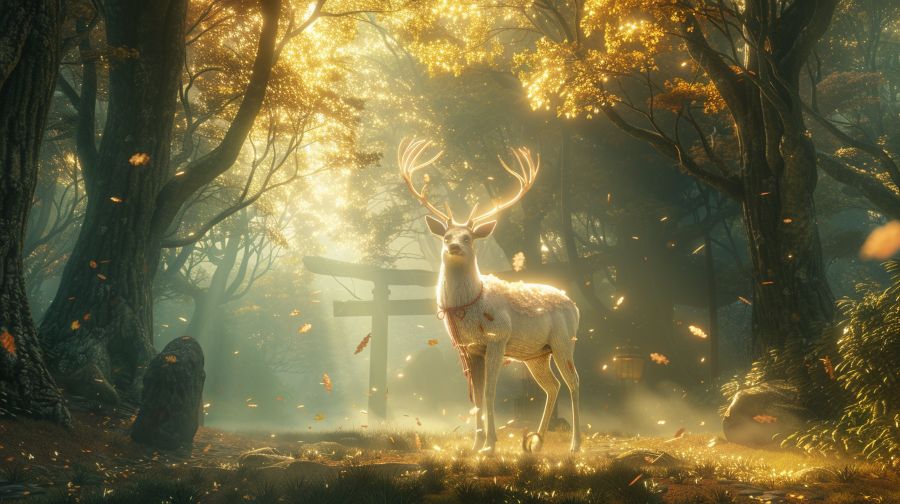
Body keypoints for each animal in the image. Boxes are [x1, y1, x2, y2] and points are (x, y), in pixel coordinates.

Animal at [399, 138, 581, 454]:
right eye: (446, 237)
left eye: (469, 238)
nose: (454, 247)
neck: (471, 304)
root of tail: (575, 305)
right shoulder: (470, 348)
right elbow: (475, 396)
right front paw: (475, 445)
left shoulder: (497, 338)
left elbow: (490, 392)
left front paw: (490, 445)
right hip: (536, 353)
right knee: (552, 386)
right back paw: (537, 443)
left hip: (563, 341)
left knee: (574, 381)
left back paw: (575, 444)